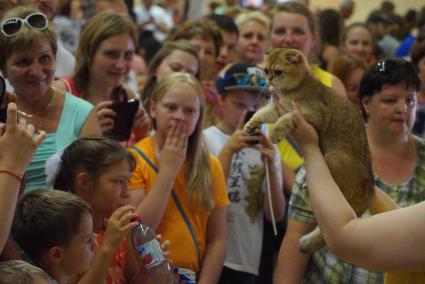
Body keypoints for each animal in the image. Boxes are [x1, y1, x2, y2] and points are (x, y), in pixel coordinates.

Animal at [243, 48, 372, 253]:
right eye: (266, 70)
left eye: (278, 72)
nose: (269, 79)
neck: (291, 91)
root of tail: (369, 184)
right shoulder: (275, 109)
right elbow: (261, 113)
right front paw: (249, 125)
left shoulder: (311, 114)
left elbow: (286, 118)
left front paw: (276, 133)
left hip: (333, 157)